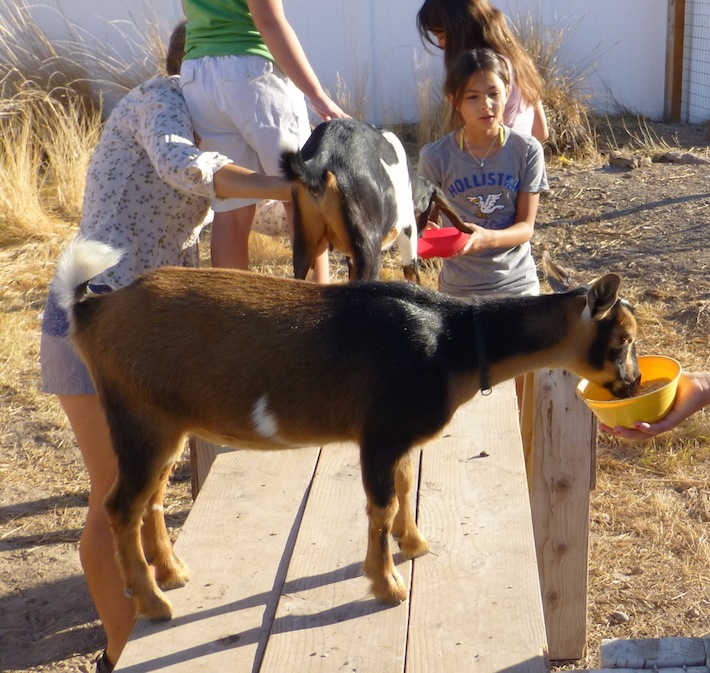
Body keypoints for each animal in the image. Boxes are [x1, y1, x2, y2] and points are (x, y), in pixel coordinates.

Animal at [57, 236, 644, 620]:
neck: (452, 340)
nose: (634, 383)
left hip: (165, 425)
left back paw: (174, 573)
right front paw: (388, 586)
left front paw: (416, 543)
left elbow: (405, 486)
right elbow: (380, 505)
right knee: (121, 506)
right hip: (139, 420)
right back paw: (155, 604)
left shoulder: (399, 438)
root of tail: (92, 308)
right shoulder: (379, 435)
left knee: (151, 498)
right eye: (623, 339)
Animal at [280, 118, 472, 280]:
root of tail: (322, 158)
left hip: (304, 247)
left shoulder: (351, 257)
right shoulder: (407, 231)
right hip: (369, 251)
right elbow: (412, 274)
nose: (423, 233)